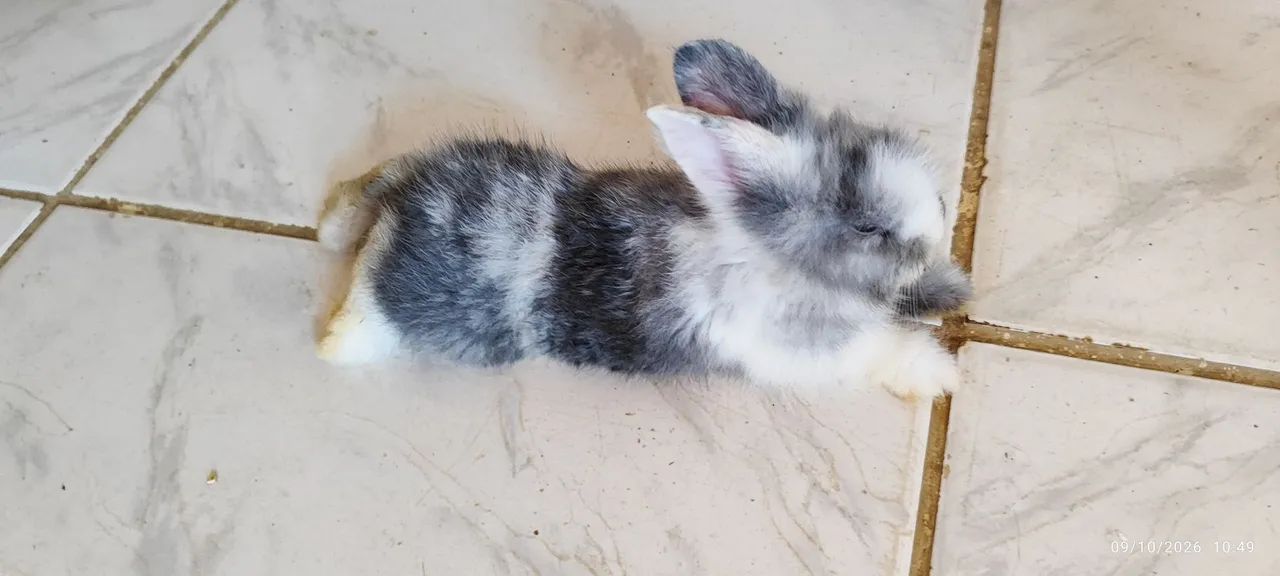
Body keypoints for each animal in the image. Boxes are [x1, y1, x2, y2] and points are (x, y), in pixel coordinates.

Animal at [316, 39, 971, 398]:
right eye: (868, 228)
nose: (939, 222)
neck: (768, 257)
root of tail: (406, 198)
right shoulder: (801, 351)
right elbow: (876, 348)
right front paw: (940, 377)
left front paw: (952, 290)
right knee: (368, 299)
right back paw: (335, 341)